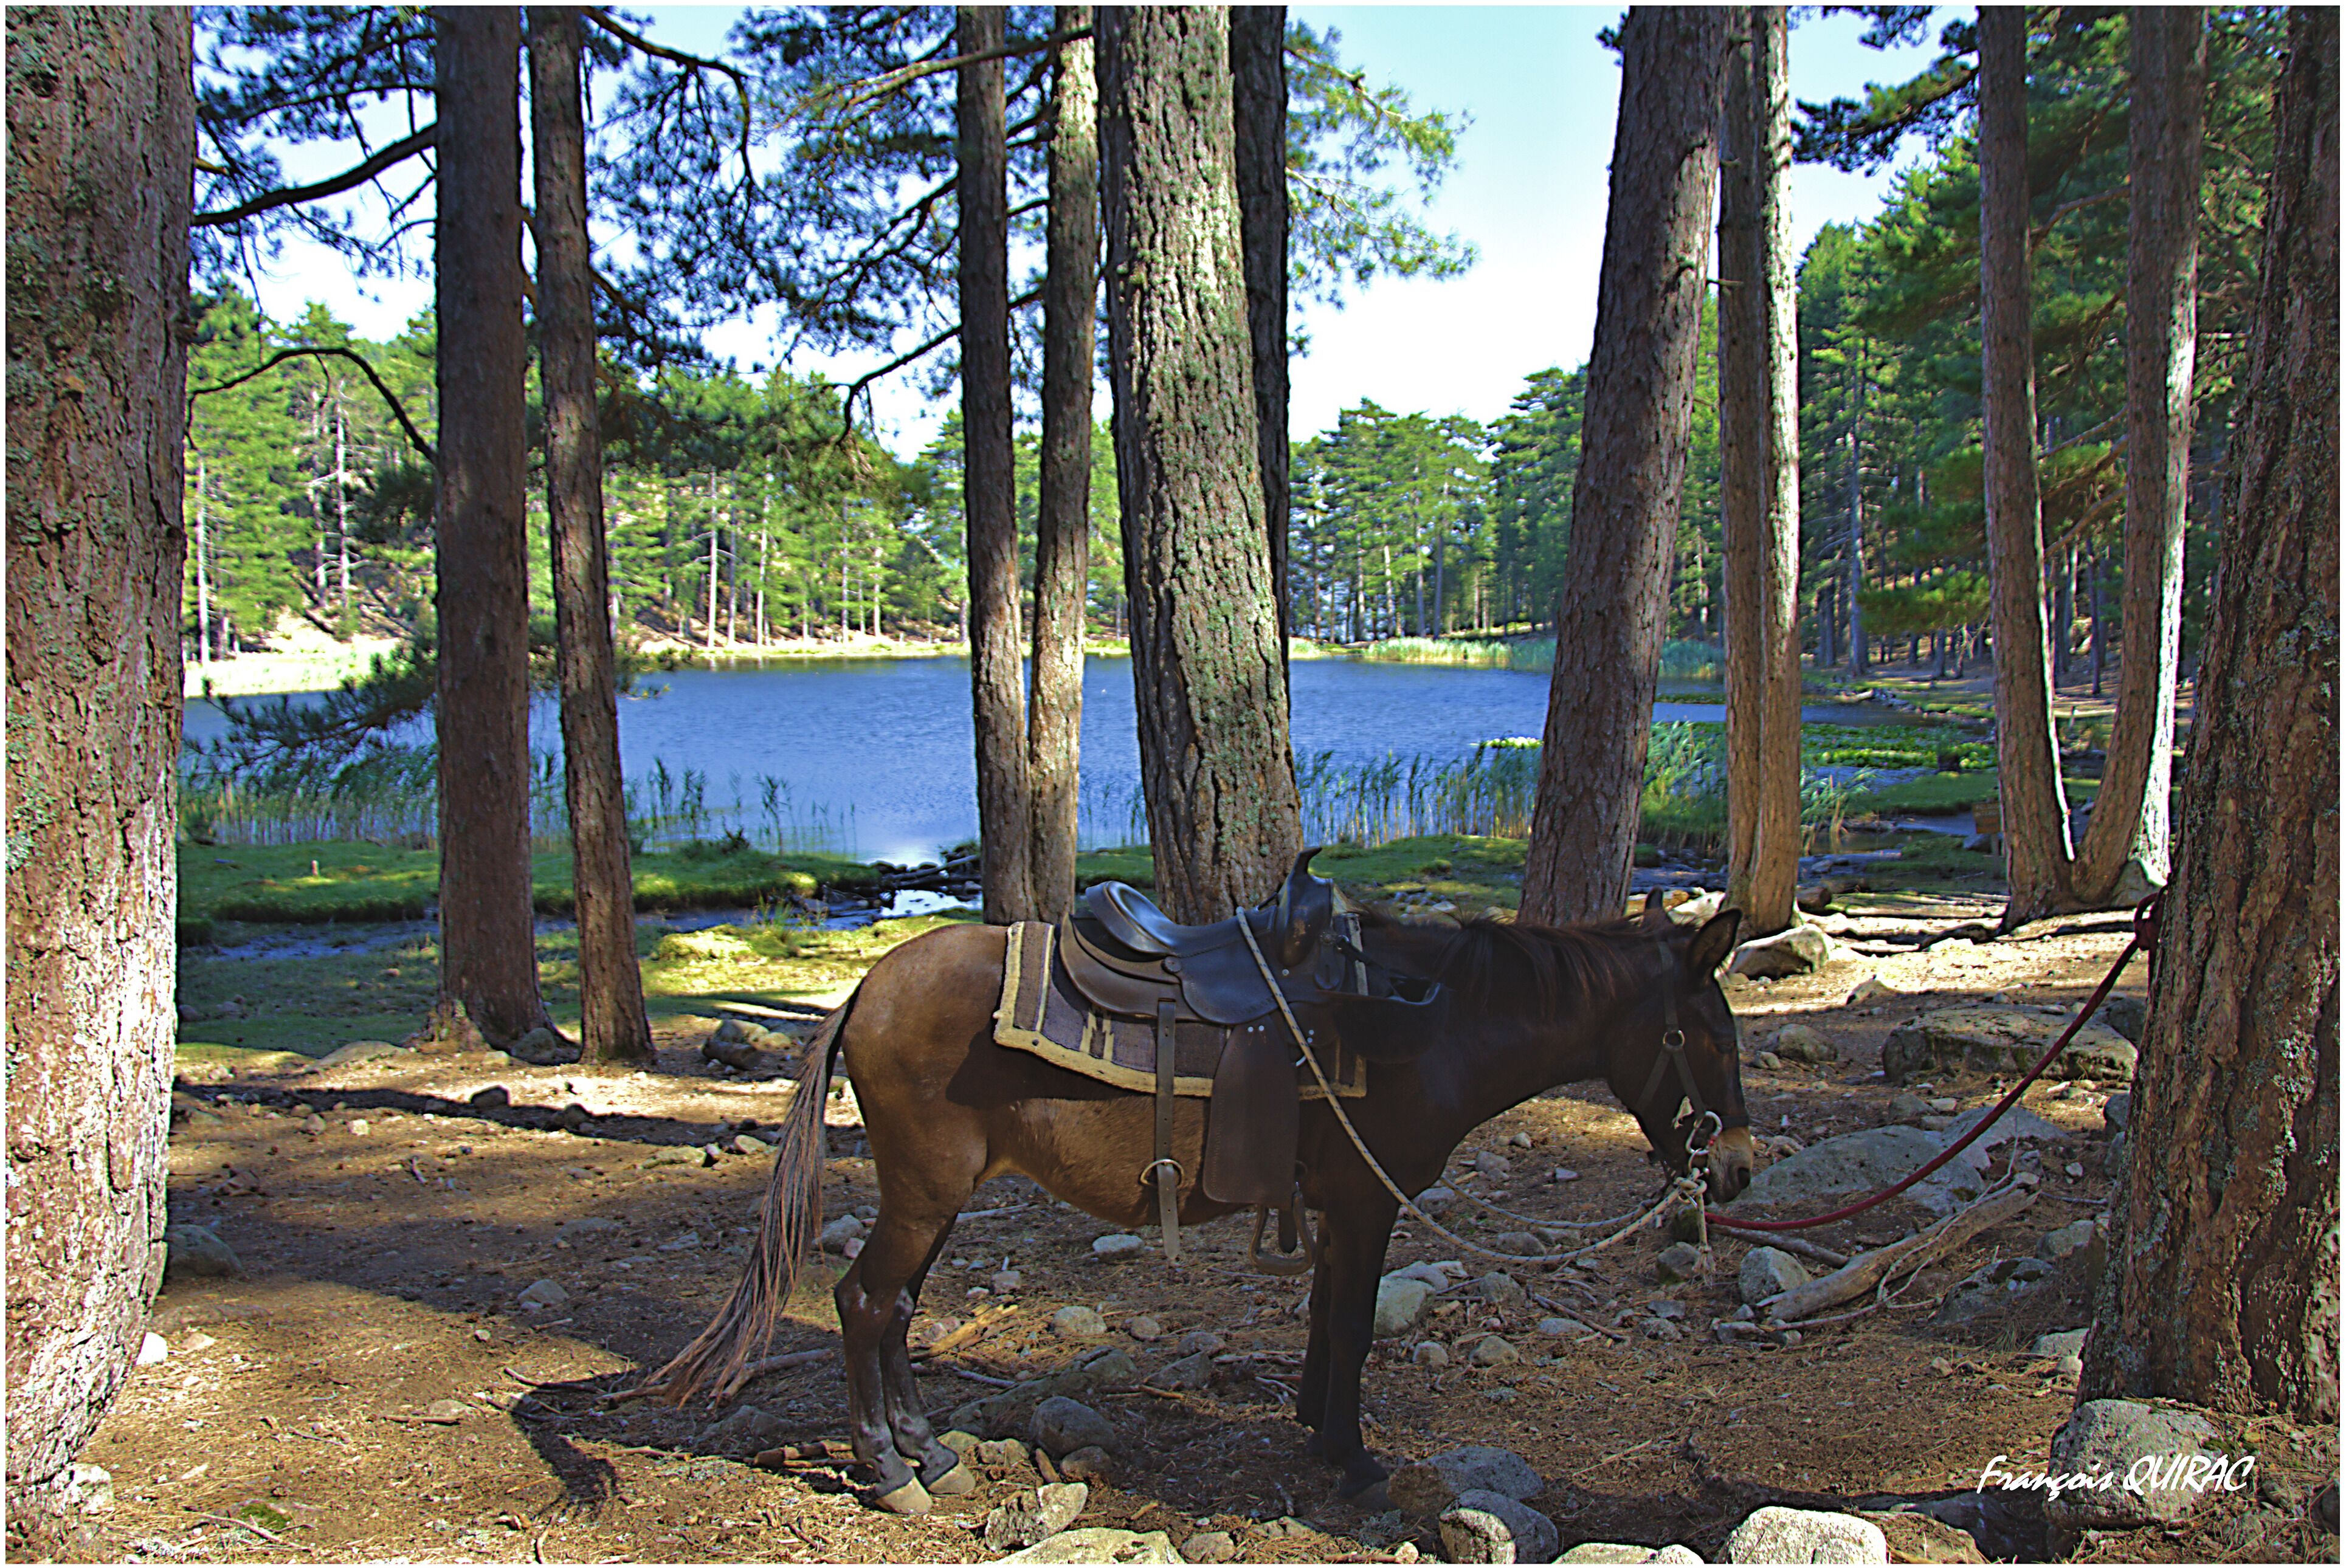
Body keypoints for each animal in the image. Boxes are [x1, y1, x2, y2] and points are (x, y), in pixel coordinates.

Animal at [644, 888, 1755, 1512]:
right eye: (1707, 1037)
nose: (1739, 1167)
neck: (1429, 1024)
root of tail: (865, 991)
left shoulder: (1339, 1208)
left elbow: (1327, 1320)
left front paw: (1315, 1428)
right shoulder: (1367, 1202)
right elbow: (1353, 1326)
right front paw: (1352, 1460)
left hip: (937, 1199)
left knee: (898, 1307)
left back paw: (929, 1453)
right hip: (924, 1193)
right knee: (866, 1301)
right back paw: (886, 1472)